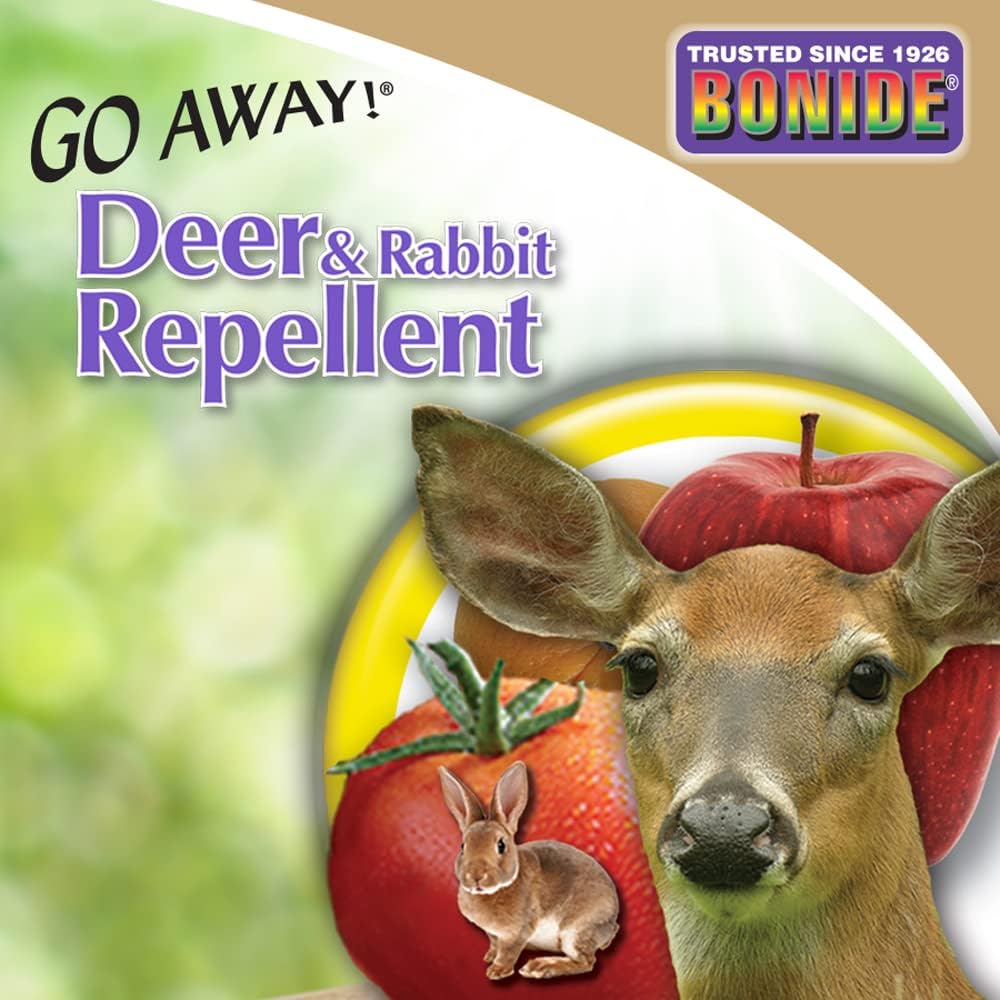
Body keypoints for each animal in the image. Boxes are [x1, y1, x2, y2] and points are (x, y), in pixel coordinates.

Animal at [438, 760, 620, 980]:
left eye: (501, 845)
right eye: (463, 847)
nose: (476, 876)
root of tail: (612, 923)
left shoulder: (516, 932)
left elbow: (508, 952)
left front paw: (496, 971)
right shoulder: (493, 934)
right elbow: (494, 945)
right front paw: (489, 957)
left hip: (575, 931)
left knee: (585, 962)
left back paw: (538, 967)